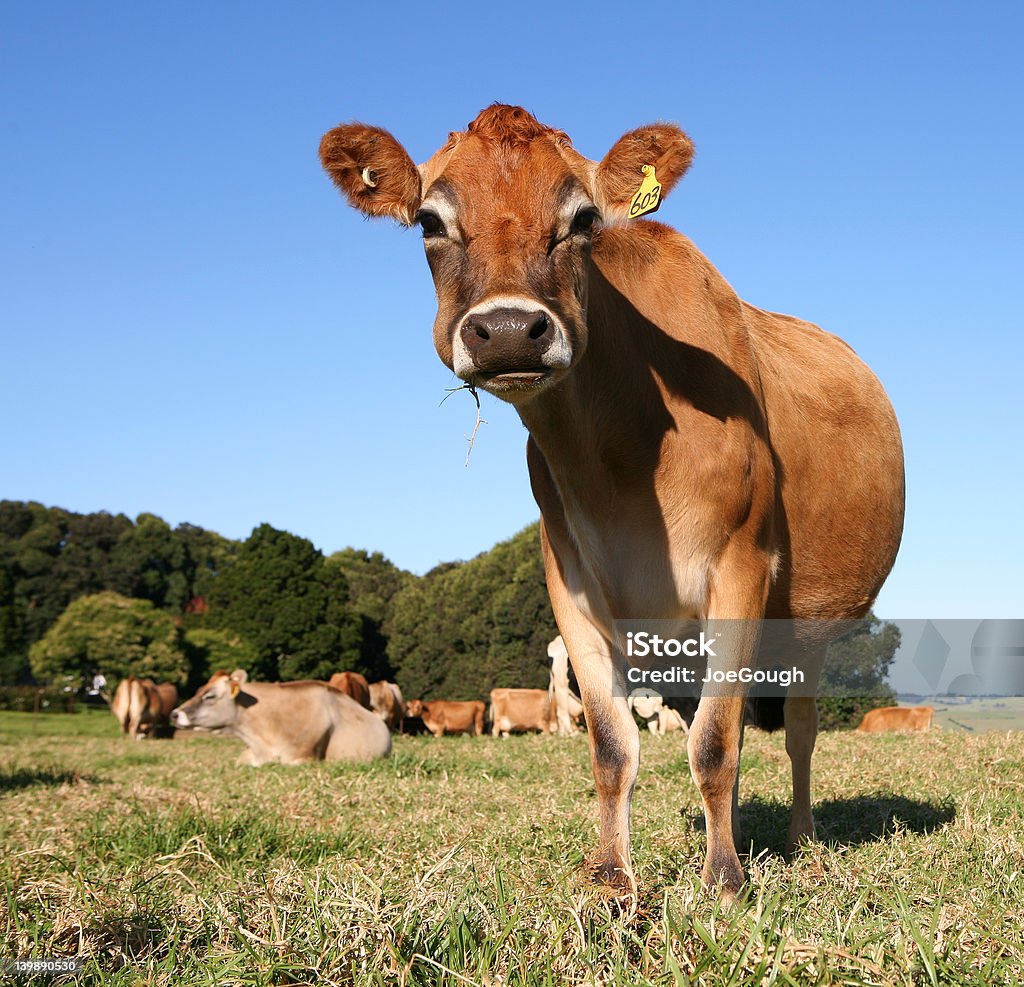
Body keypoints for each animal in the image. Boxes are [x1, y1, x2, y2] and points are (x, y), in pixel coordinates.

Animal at [321, 103, 905, 896]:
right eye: (429, 221)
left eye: (584, 219)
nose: (510, 330)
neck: (621, 462)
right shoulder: (571, 582)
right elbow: (613, 744)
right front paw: (612, 877)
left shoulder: (741, 566)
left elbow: (715, 742)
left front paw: (724, 879)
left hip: (807, 624)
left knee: (798, 732)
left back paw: (802, 840)